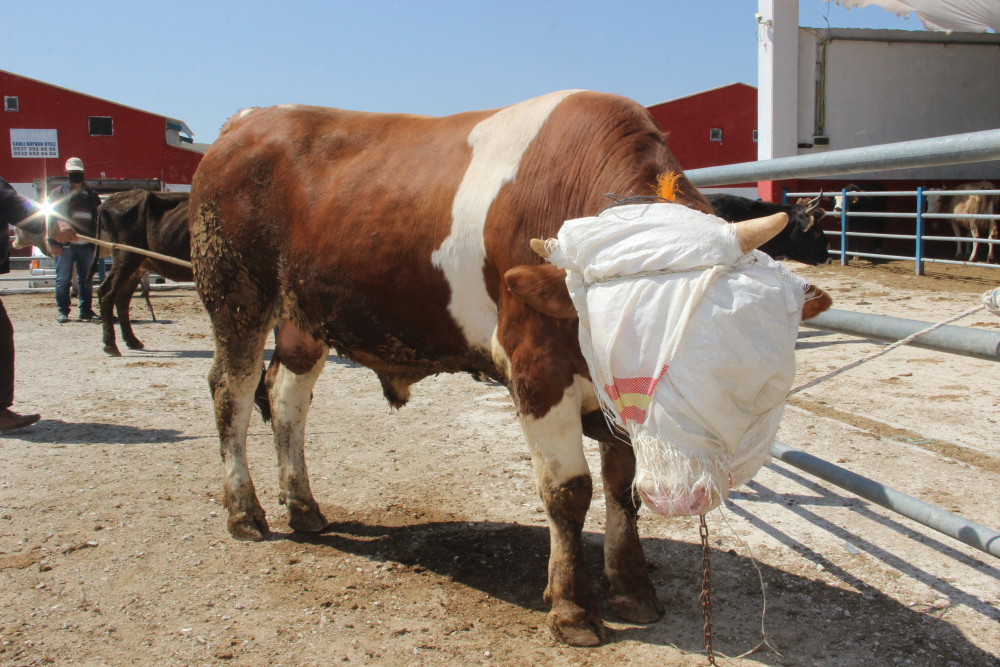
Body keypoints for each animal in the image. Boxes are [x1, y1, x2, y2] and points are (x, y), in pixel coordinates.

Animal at [191, 91, 832, 644]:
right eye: (617, 336)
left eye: (729, 346)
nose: (684, 491)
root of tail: (247, 122)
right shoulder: (536, 366)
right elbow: (568, 491)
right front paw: (573, 608)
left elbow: (620, 488)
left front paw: (632, 590)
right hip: (235, 293)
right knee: (233, 392)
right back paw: (245, 511)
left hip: (306, 318)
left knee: (287, 400)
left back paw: (302, 506)